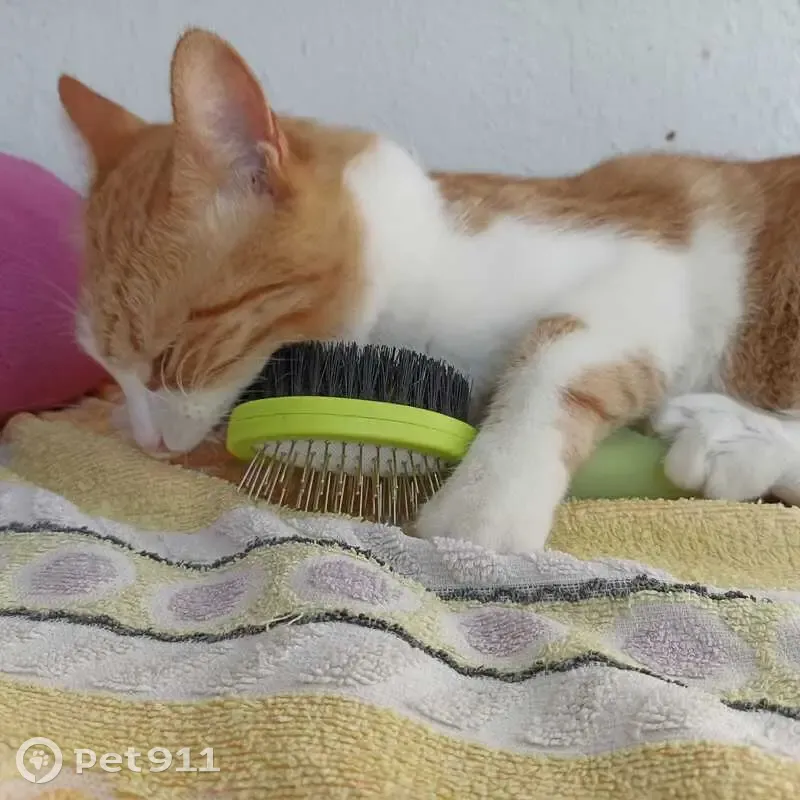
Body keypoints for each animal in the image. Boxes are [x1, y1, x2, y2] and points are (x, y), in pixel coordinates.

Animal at [58, 27, 800, 554]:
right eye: (107, 370)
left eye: (169, 359)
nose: (148, 443)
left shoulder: (652, 264)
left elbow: (552, 358)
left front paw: (486, 500)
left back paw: (732, 436)